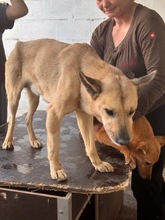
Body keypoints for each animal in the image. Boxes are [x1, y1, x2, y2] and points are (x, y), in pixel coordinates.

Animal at [1, 39, 155, 180]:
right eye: (109, 111)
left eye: (132, 111)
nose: (124, 141)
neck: (79, 70)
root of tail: (20, 43)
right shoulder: (54, 114)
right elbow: (54, 148)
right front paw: (56, 169)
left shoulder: (84, 117)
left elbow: (91, 145)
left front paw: (98, 163)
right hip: (13, 97)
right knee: (12, 119)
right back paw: (8, 141)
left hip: (35, 98)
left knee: (28, 118)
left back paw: (33, 140)